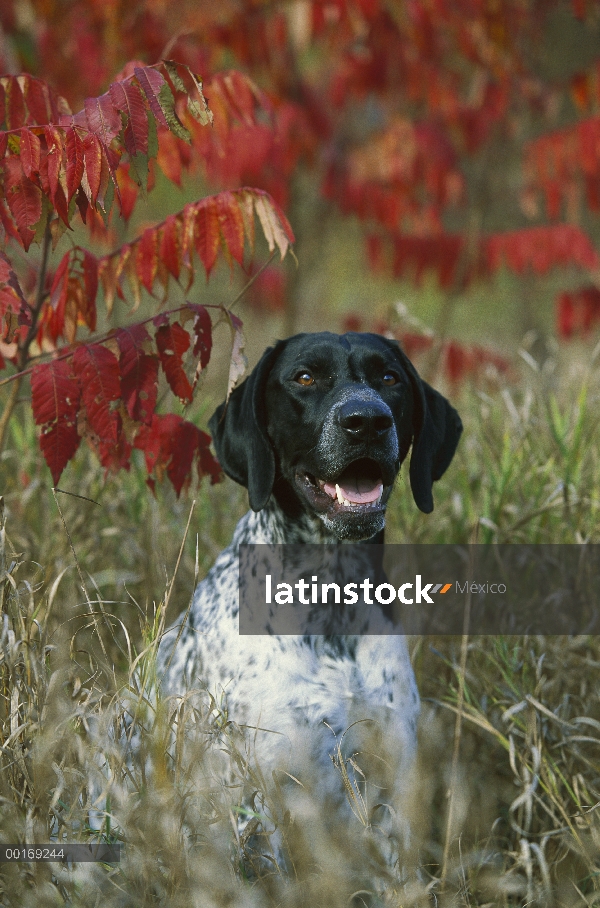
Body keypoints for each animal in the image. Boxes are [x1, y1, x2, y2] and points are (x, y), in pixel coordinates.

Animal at [157, 334, 462, 880]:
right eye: (304, 377)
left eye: (389, 378)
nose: (367, 421)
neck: (330, 600)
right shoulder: (261, 796)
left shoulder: (390, 781)